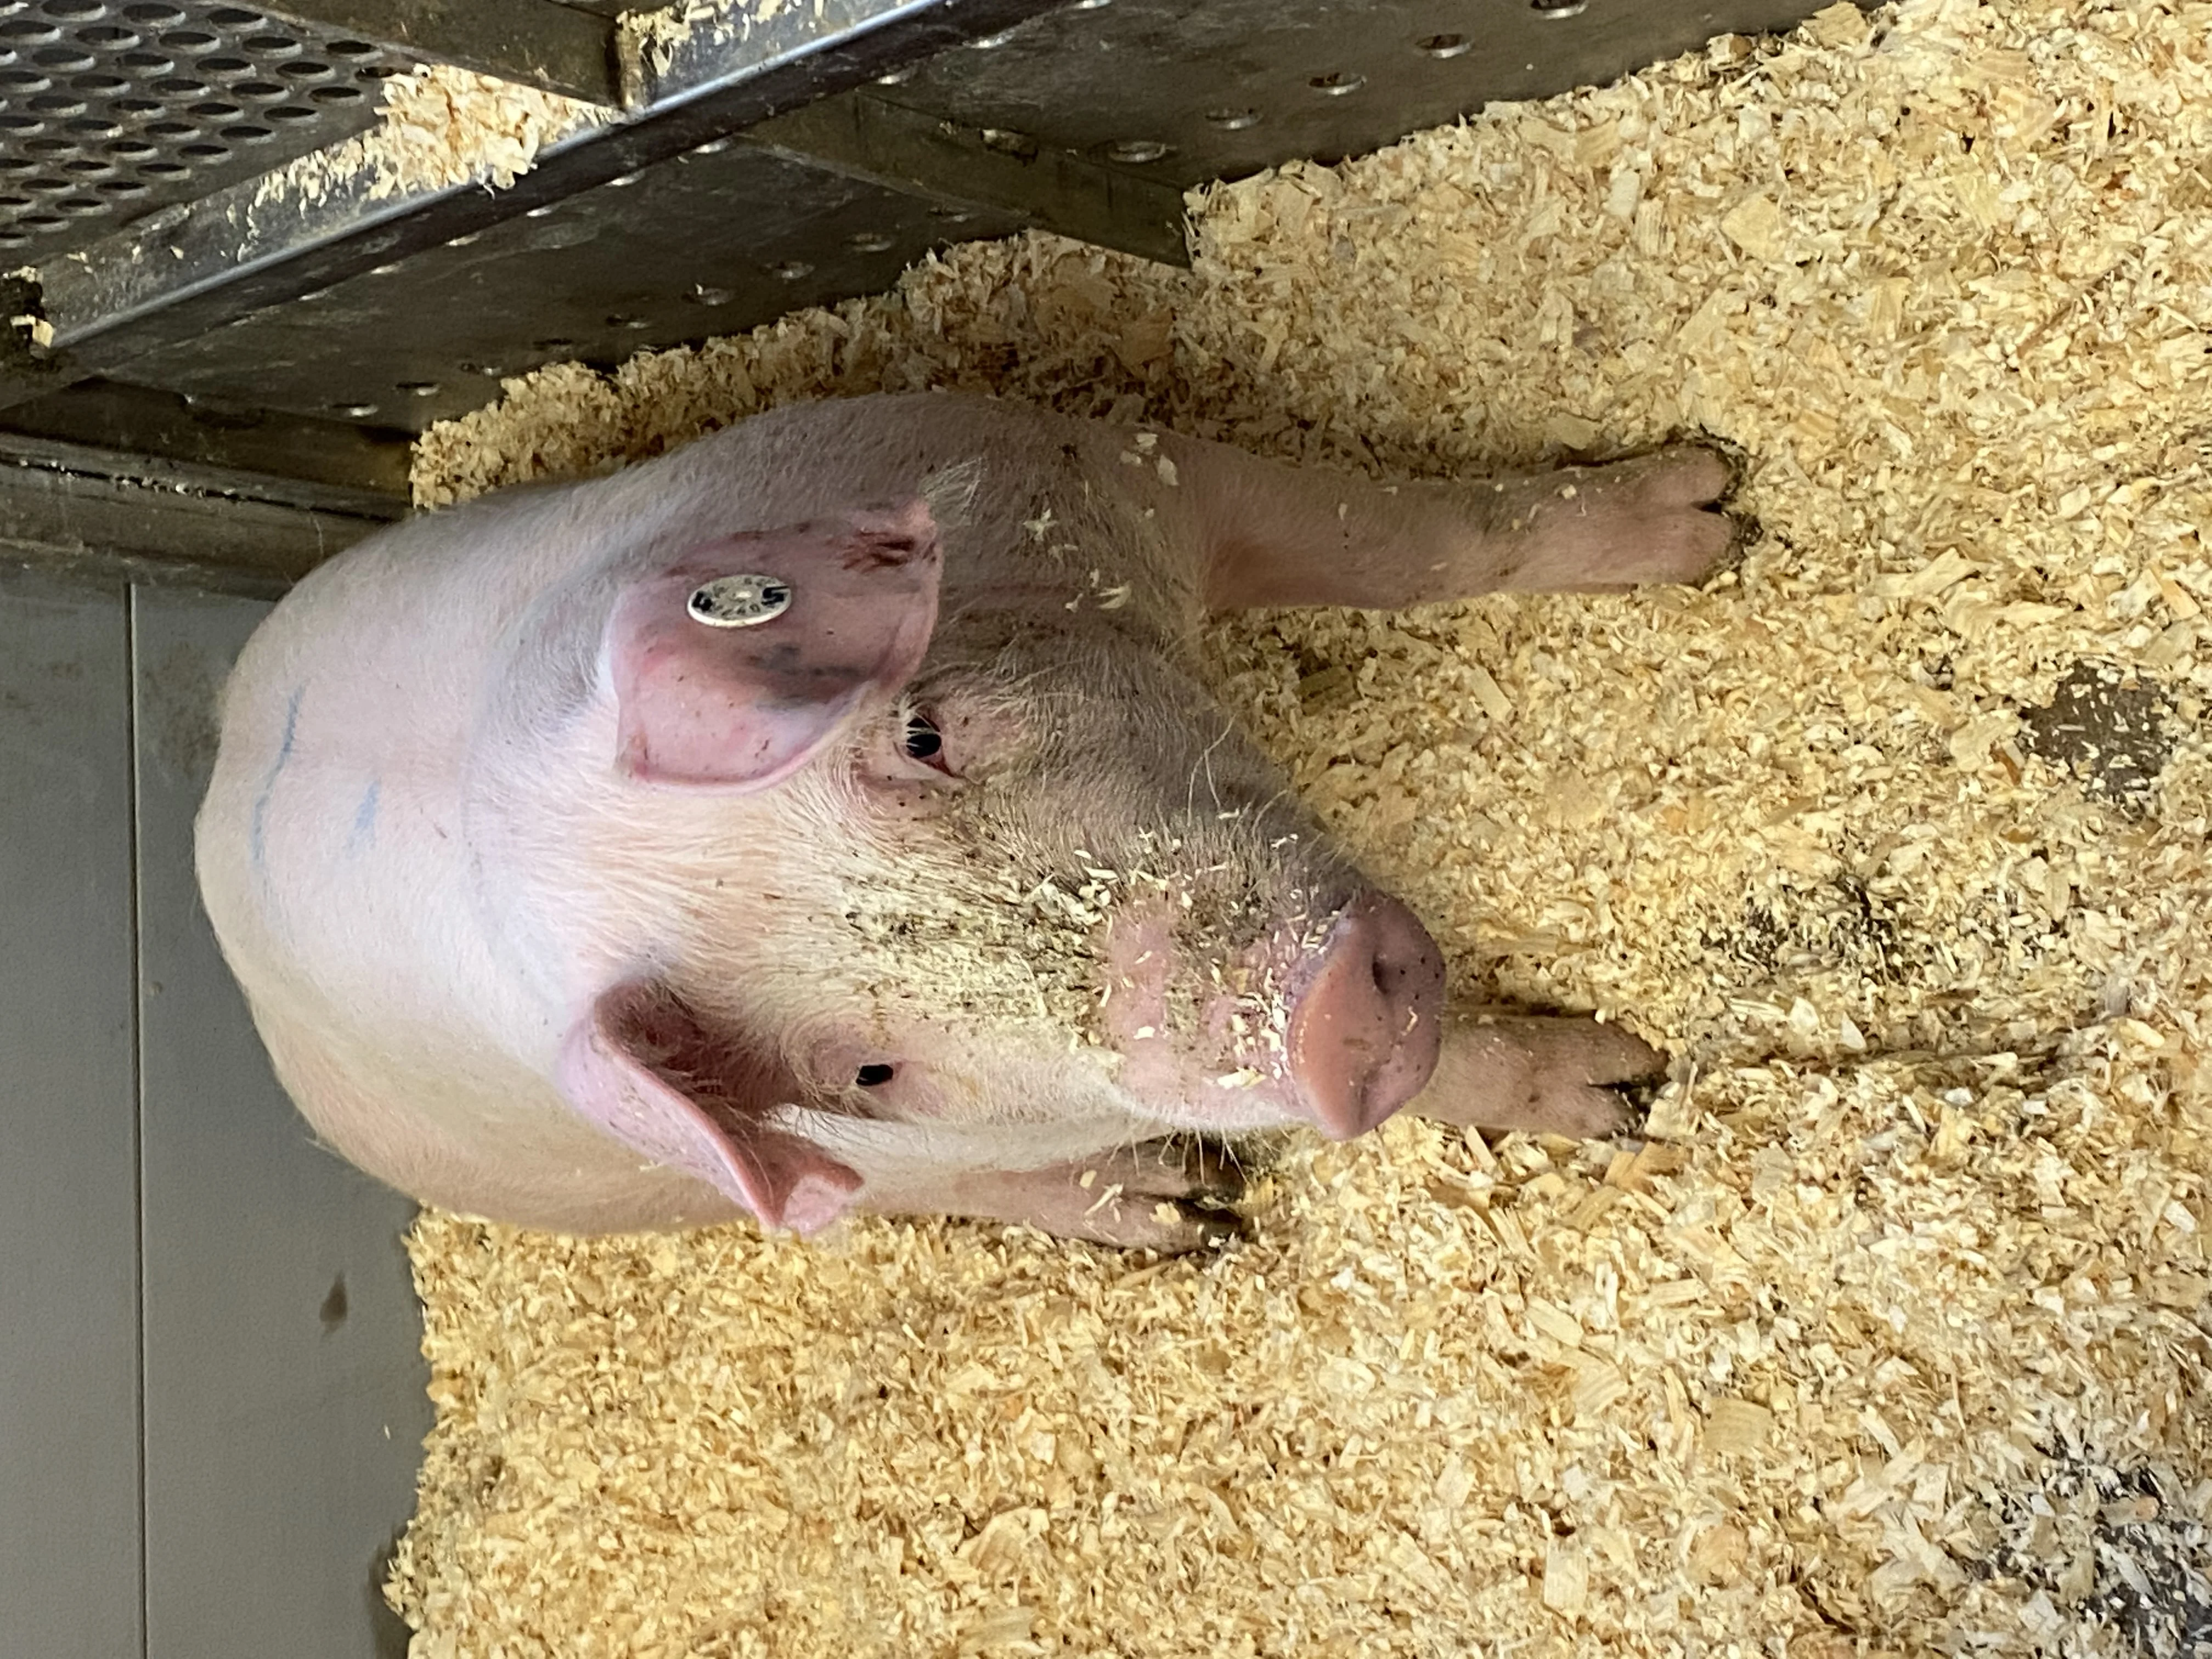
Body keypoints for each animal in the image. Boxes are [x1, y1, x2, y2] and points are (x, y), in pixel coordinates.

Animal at [196, 392, 1736, 1251]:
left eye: (923, 733)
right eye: (871, 1067)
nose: (1329, 1024)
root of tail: (209, 809)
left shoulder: (1076, 462)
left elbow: (1413, 541)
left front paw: (1717, 512)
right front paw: (1626, 1093)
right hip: (742, 1184)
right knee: (930, 1199)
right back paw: (1188, 1218)